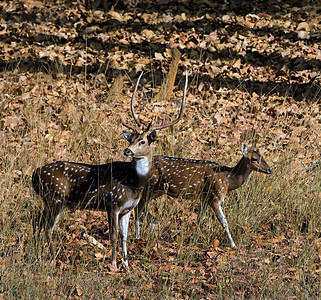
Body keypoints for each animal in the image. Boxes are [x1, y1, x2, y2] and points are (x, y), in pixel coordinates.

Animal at [32, 71, 188, 268]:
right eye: (131, 139)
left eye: (142, 141)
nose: (127, 150)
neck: (133, 184)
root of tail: (35, 174)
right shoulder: (111, 202)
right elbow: (113, 235)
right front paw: (113, 263)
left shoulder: (127, 209)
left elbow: (124, 236)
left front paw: (126, 264)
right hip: (55, 197)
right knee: (46, 227)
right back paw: (51, 257)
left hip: (53, 201)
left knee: (38, 224)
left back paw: (38, 256)